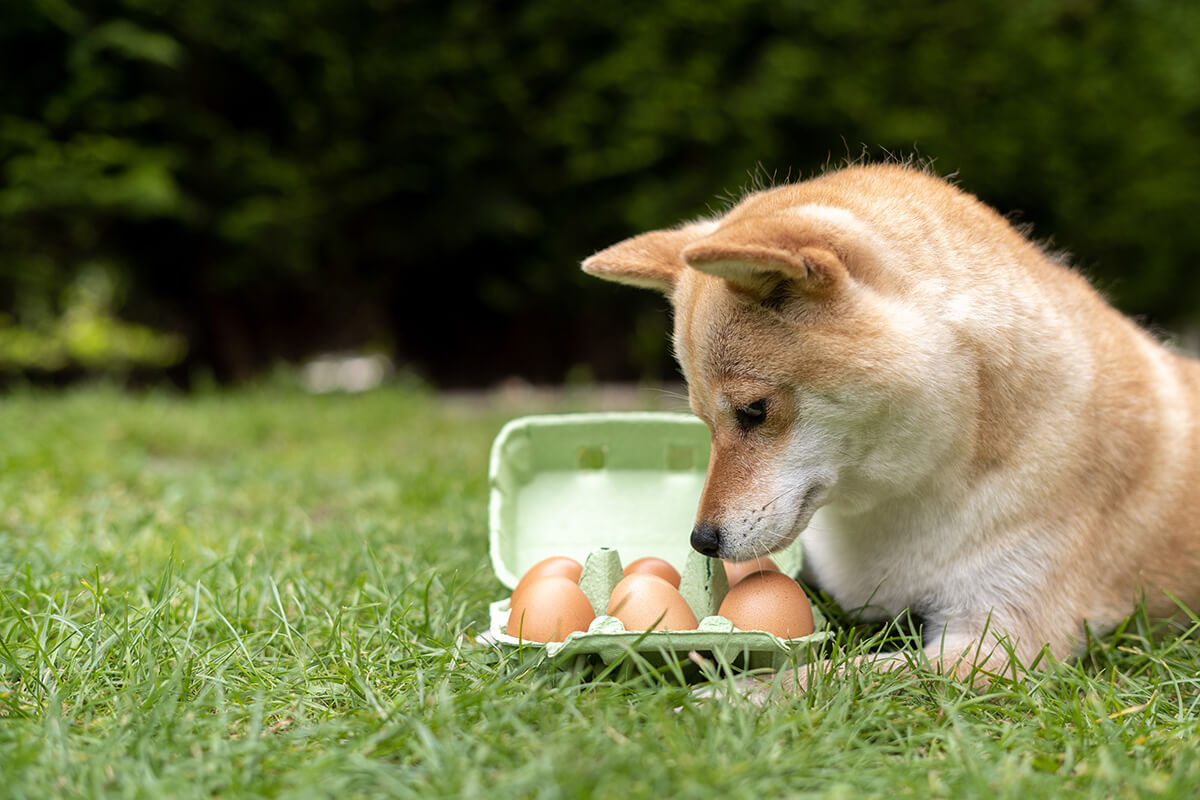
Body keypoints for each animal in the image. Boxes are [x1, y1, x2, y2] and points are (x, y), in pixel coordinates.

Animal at [583, 164, 1200, 695]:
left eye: (754, 411)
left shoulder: (999, 644)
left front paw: (737, 694)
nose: (701, 540)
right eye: (703, 420)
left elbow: (837, 674)